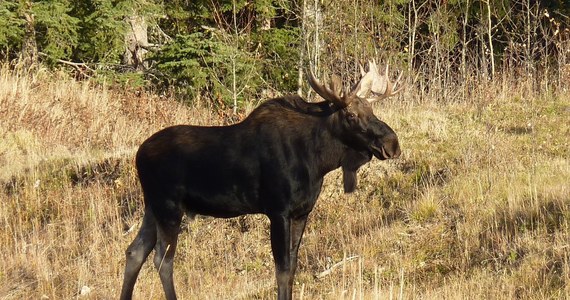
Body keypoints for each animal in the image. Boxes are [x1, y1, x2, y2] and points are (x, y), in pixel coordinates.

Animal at [118, 61, 404, 300]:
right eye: (351, 116)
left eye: (372, 109)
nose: (392, 143)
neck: (317, 160)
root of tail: (138, 155)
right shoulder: (278, 211)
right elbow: (282, 269)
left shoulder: (302, 212)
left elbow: (293, 266)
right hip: (168, 207)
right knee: (162, 260)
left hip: (152, 208)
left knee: (135, 252)